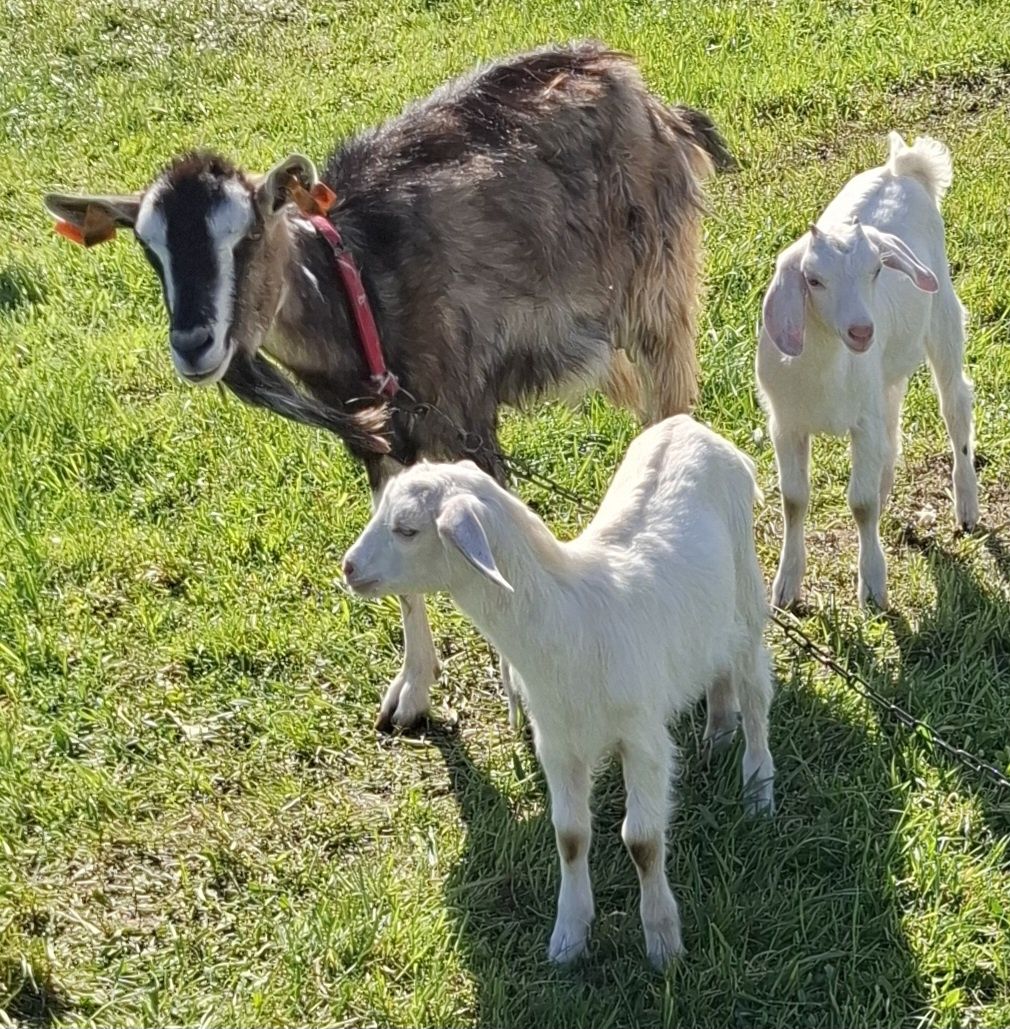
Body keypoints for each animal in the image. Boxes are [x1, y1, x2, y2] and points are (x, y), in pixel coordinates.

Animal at [45, 42, 736, 732]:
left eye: (247, 234)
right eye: (148, 247)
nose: (194, 345)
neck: (361, 288)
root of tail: (645, 94)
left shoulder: (467, 417)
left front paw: (516, 692)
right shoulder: (378, 440)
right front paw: (412, 693)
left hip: (659, 291)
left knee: (668, 410)